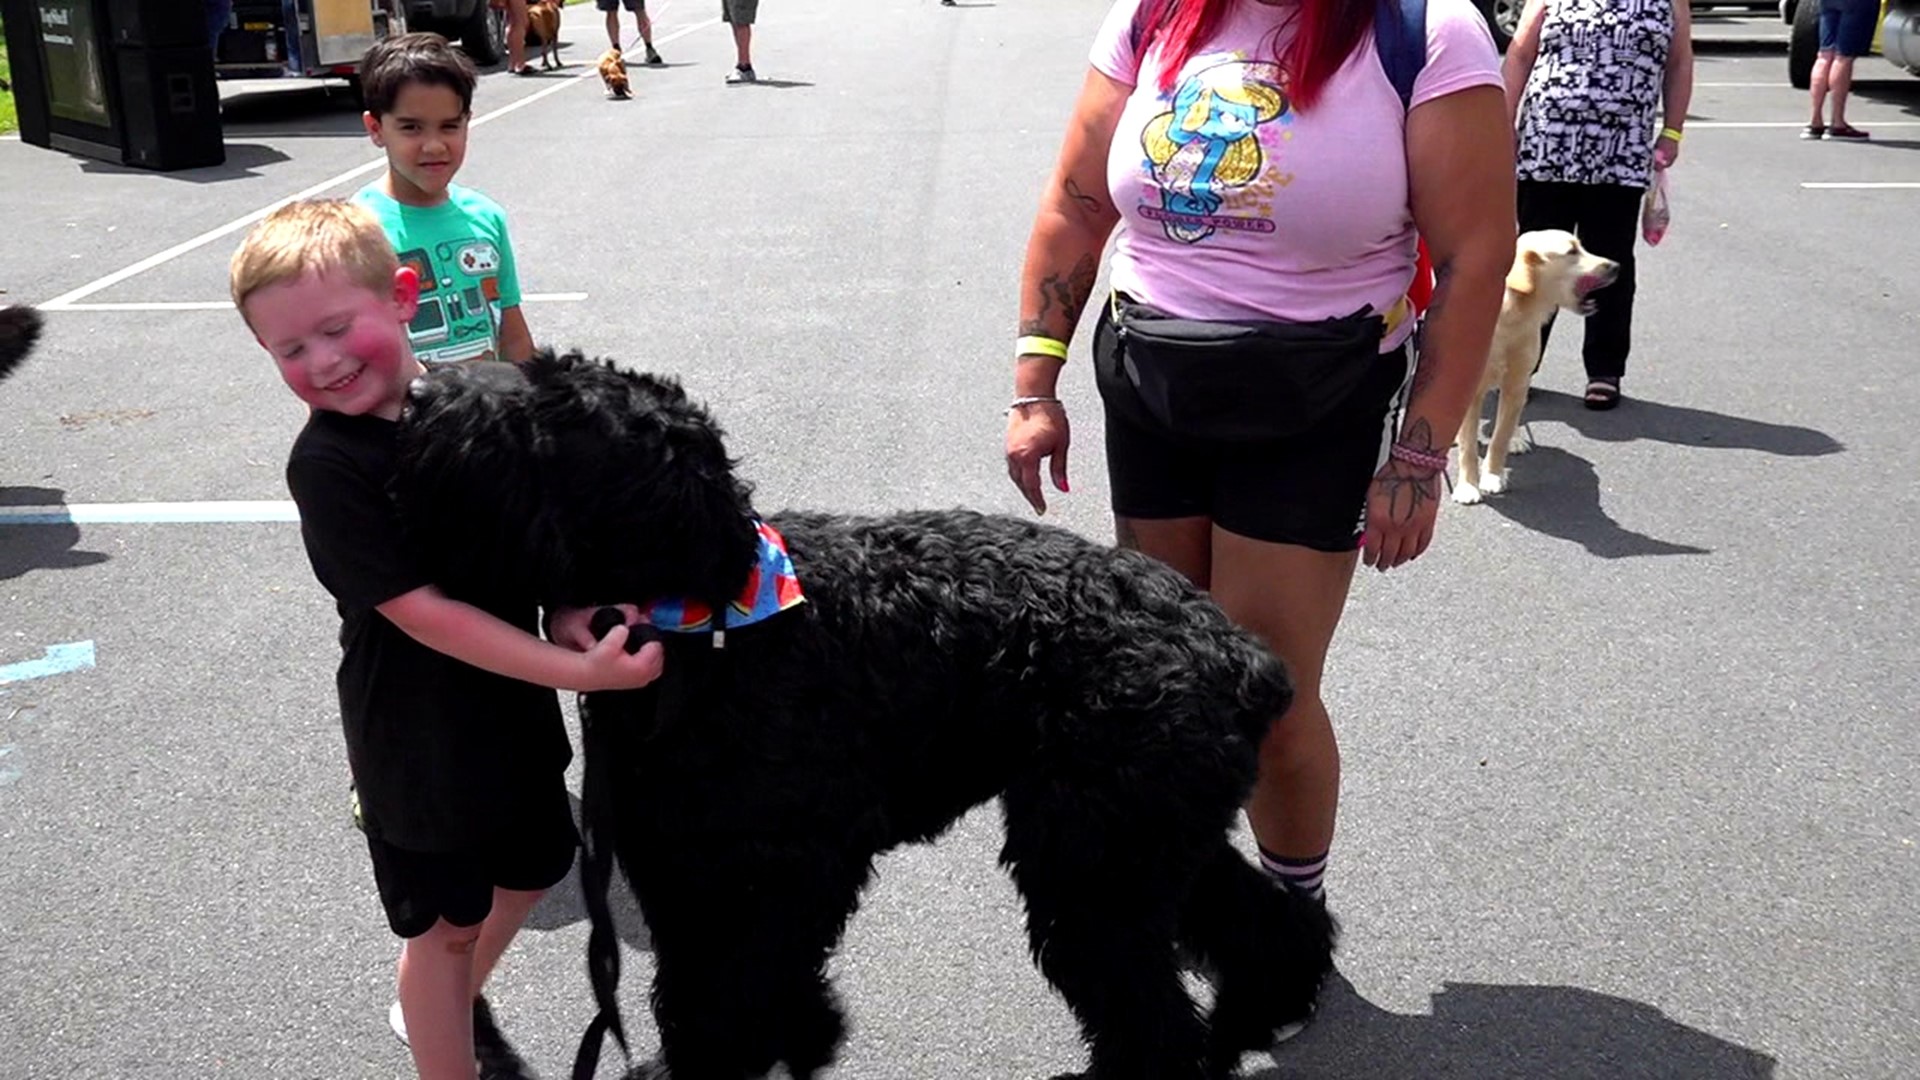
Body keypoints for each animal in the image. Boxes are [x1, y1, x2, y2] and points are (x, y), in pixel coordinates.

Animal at [389, 353, 1336, 1076]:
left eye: (550, 414)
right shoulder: (684, 867)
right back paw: (1263, 1009)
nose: (422, 395)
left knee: (1150, 1018)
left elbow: (734, 994)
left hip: (1092, 864)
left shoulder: (785, 869)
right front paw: (787, 1042)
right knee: (1259, 917)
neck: (713, 622)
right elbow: (704, 989)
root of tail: (1238, 651)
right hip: (1140, 838)